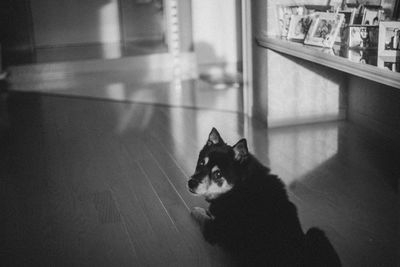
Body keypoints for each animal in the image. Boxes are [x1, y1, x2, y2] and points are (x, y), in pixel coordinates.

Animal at [188, 129, 340, 266]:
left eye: (218, 174)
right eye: (201, 163)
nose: (191, 183)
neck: (240, 186)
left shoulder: (213, 231)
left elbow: (202, 216)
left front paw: (196, 210)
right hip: (316, 234)